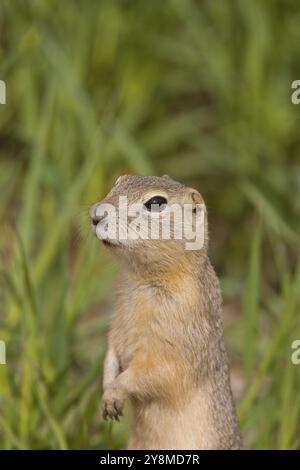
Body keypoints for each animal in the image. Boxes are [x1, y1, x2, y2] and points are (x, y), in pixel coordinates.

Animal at [90, 174, 243, 450]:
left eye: (156, 203)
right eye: (119, 181)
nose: (95, 214)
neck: (141, 278)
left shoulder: (174, 340)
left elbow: (155, 372)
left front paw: (114, 393)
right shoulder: (117, 320)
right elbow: (111, 352)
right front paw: (107, 388)